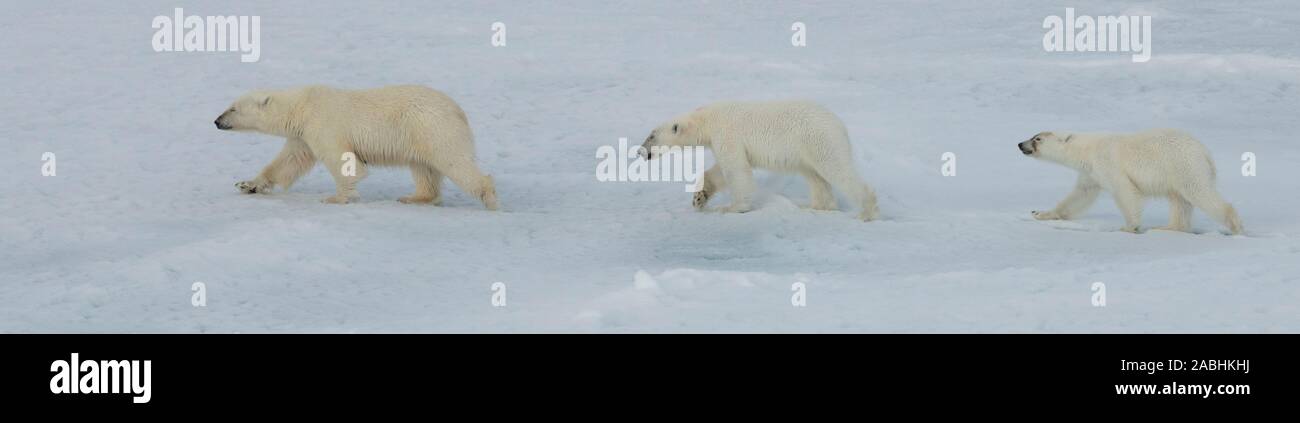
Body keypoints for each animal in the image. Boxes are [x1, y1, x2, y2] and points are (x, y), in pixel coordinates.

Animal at [213, 83, 496, 209]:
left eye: (233, 108)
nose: (217, 121)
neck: (302, 106)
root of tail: (458, 110)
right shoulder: (303, 136)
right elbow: (288, 162)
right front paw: (247, 185)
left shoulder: (323, 124)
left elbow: (344, 162)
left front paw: (336, 198)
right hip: (420, 136)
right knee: (423, 168)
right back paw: (414, 197)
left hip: (433, 129)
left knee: (454, 162)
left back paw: (490, 199)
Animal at [642, 100, 883, 218]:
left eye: (651, 136)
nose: (641, 152)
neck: (707, 119)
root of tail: (840, 125)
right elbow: (720, 171)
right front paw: (699, 198)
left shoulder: (727, 133)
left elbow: (736, 170)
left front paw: (731, 208)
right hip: (804, 151)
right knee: (814, 176)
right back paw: (814, 206)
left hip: (818, 139)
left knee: (836, 169)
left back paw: (867, 211)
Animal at [1019, 128, 1242, 234]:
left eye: (1037, 138)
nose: (1020, 144)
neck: (1086, 149)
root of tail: (1205, 152)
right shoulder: (1091, 173)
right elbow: (1080, 194)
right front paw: (1040, 213)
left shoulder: (1107, 162)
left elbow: (1124, 190)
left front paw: (1129, 227)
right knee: (1180, 201)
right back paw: (1167, 228)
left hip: (1183, 165)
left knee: (1197, 192)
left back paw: (1234, 224)